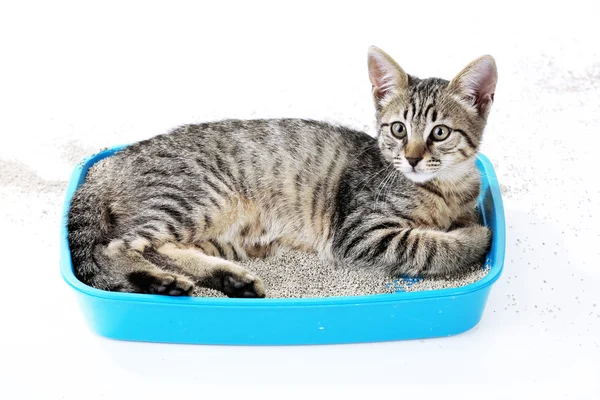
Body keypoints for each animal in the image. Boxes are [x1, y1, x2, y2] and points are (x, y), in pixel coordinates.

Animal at [67, 46, 496, 296]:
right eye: (398, 129)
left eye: (439, 132)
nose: (412, 158)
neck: (445, 187)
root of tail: (111, 162)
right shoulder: (362, 234)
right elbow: (432, 246)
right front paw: (475, 236)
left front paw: (464, 222)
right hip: (198, 198)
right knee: (116, 247)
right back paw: (160, 282)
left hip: (220, 232)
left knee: (165, 248)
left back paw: (228, 279)